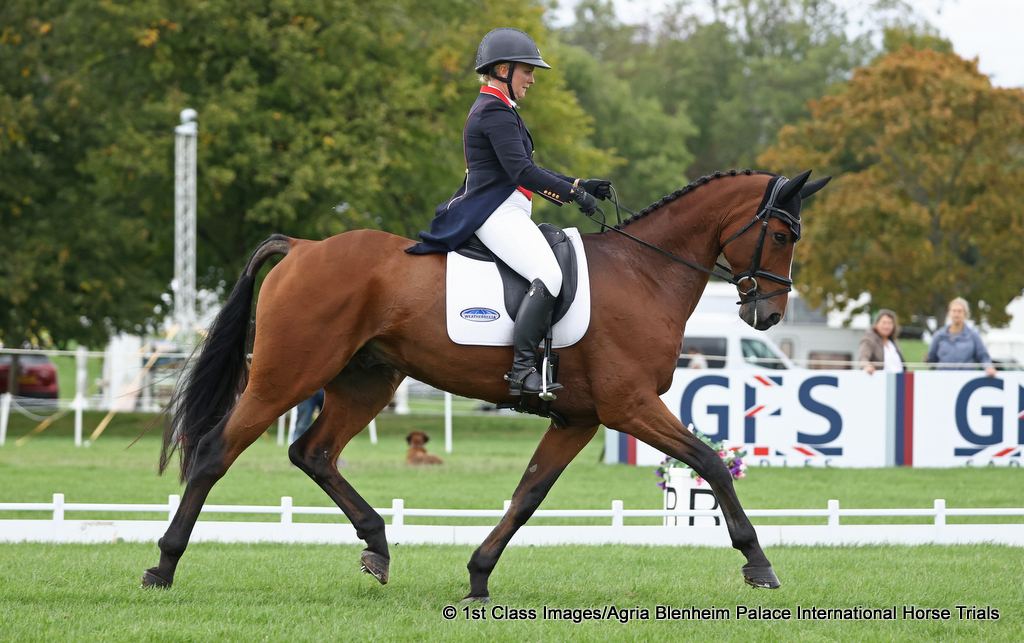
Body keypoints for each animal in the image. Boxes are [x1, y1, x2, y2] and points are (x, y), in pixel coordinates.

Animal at [142, 168, 829, 602]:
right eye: (783, 234)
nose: (767, 315)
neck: (645, 272)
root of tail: (305, 245)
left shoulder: (578, 419)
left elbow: (528, 495)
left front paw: (478, 576)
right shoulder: (630, 405)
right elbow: (710, 464)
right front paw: (759, 564)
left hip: (366, 381)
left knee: (313, 452)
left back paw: (378, 547)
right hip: (286, 375)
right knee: (215, 451)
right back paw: (163, 565)